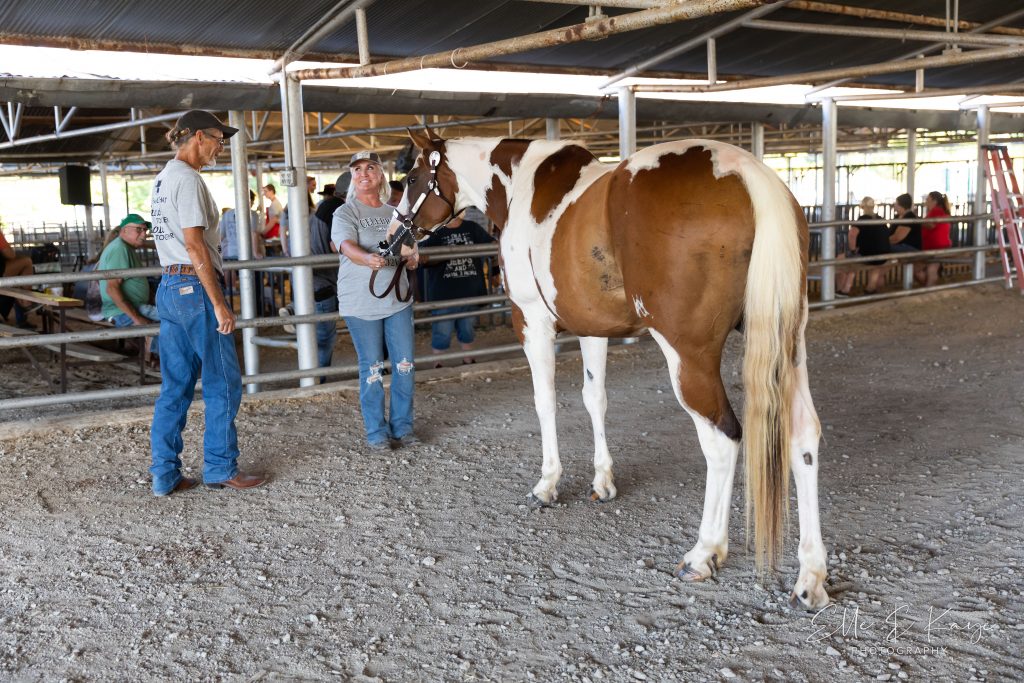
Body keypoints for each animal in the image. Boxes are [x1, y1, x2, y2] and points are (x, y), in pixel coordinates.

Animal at [393, 128, 829, 610]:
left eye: (410, 178)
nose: (396, 238)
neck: (521, 185)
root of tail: (748, 176)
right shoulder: (592, 327)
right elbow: (594, 398)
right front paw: (603, 481)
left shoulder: (531, 322)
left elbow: (545, 401)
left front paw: (548, 484)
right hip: (789, 343)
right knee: (803, 436)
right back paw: (810, 576)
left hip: (688, 355)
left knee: (721, 439)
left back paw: (704, 553)